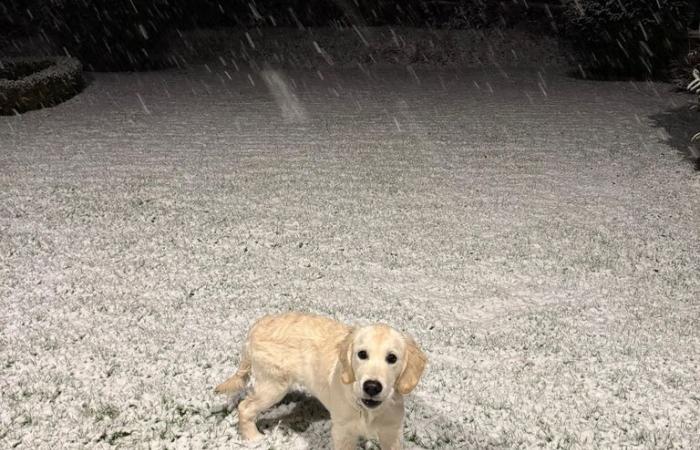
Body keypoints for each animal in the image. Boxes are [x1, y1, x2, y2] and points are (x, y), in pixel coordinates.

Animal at [215, 312, 426, 450]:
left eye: (392, 358)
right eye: (362, 354)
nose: (372, 387)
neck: (368, 411)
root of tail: (257, 325)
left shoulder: (392, 432)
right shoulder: (343, 432)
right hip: (273, 385)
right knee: (245, 407)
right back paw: (254, 439)